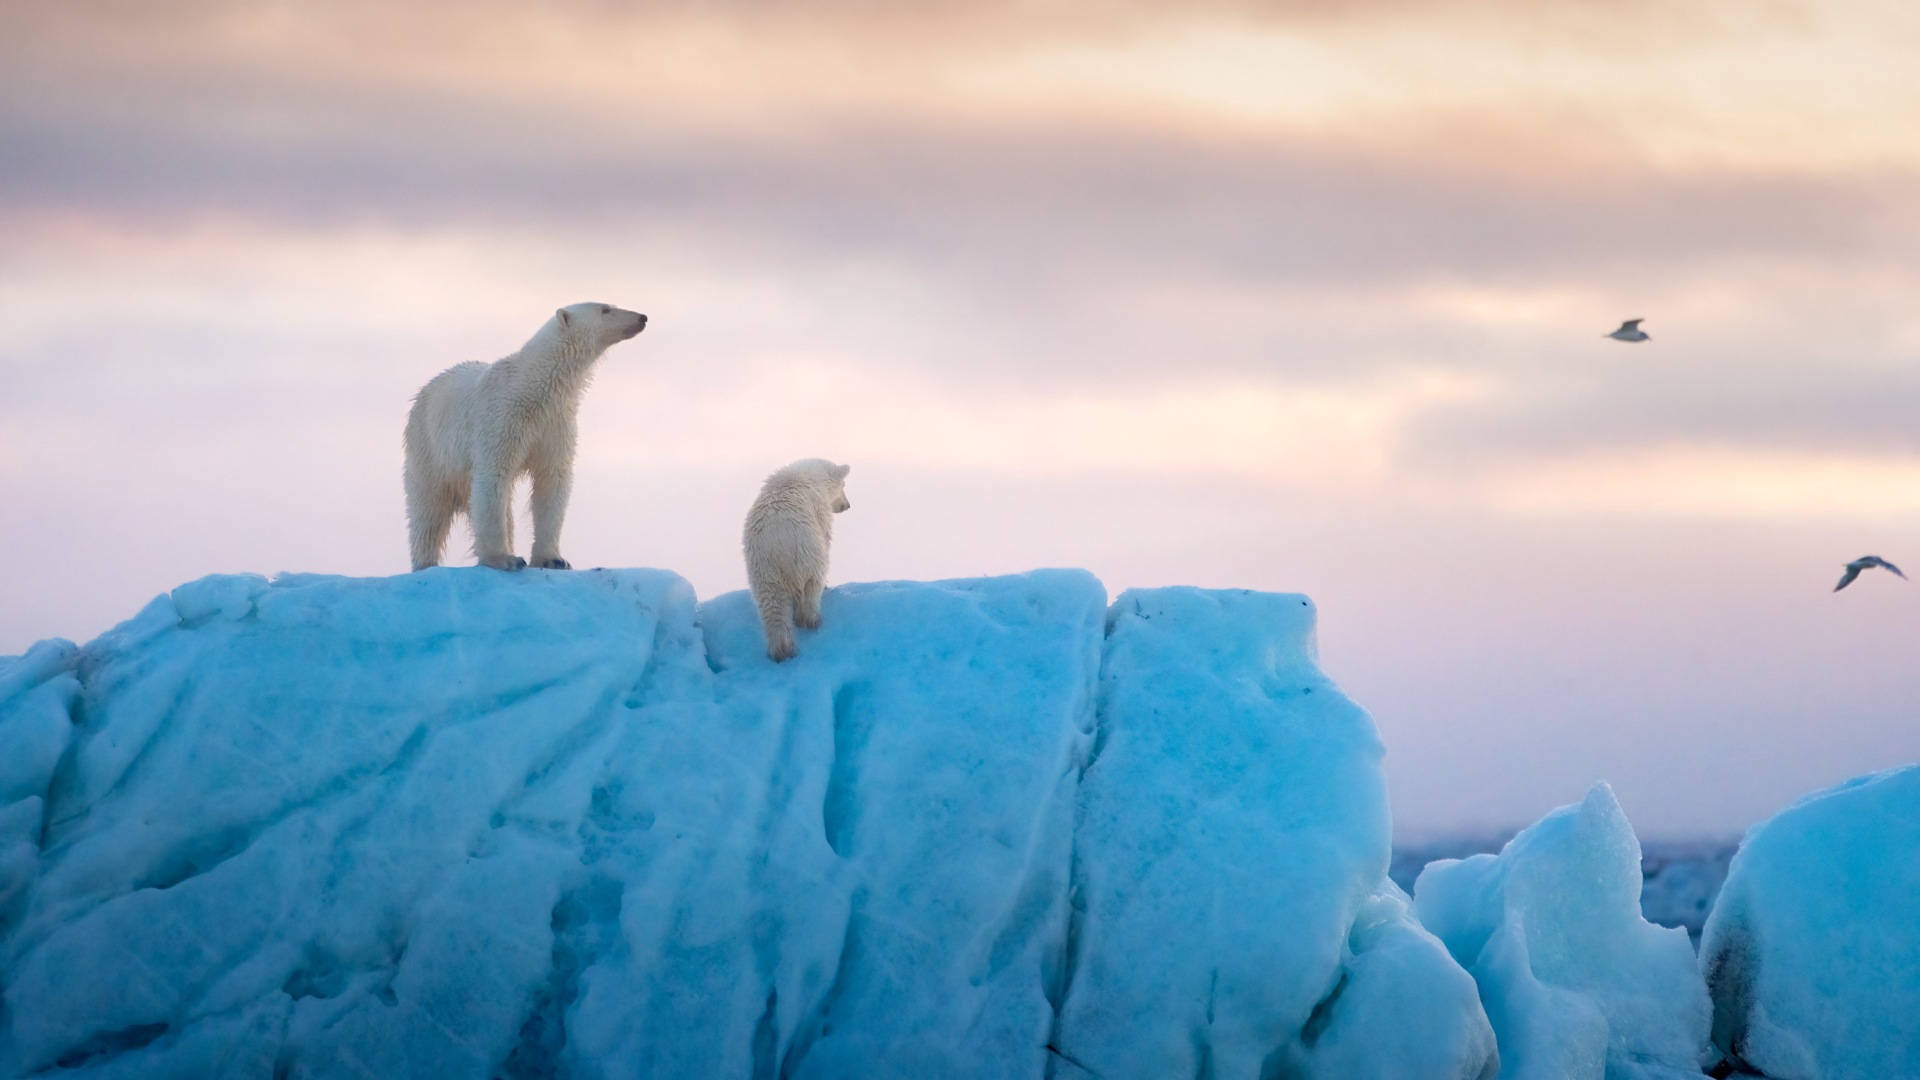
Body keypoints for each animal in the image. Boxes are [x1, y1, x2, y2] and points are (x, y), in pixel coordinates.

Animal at [404, 302, 646, 572]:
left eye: (611, 305)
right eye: (605, 309)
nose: (642, 317)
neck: (533, 389)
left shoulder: (555, 425)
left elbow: (552, 480)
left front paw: (553, 559)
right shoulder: (501, 420)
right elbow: (492, 478)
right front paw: (504, 559)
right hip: (428, 445)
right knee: (428, 508)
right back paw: (425, 563)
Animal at [744, 459, 852, 661]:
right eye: (844, 485)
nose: (847, 506)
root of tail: (779, 545)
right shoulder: (819, 511)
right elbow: (827, 538)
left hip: (763, 568)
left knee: (772, 606)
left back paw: (781, 650)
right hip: (807, 553)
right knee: (812, 587)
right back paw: (811, 620)